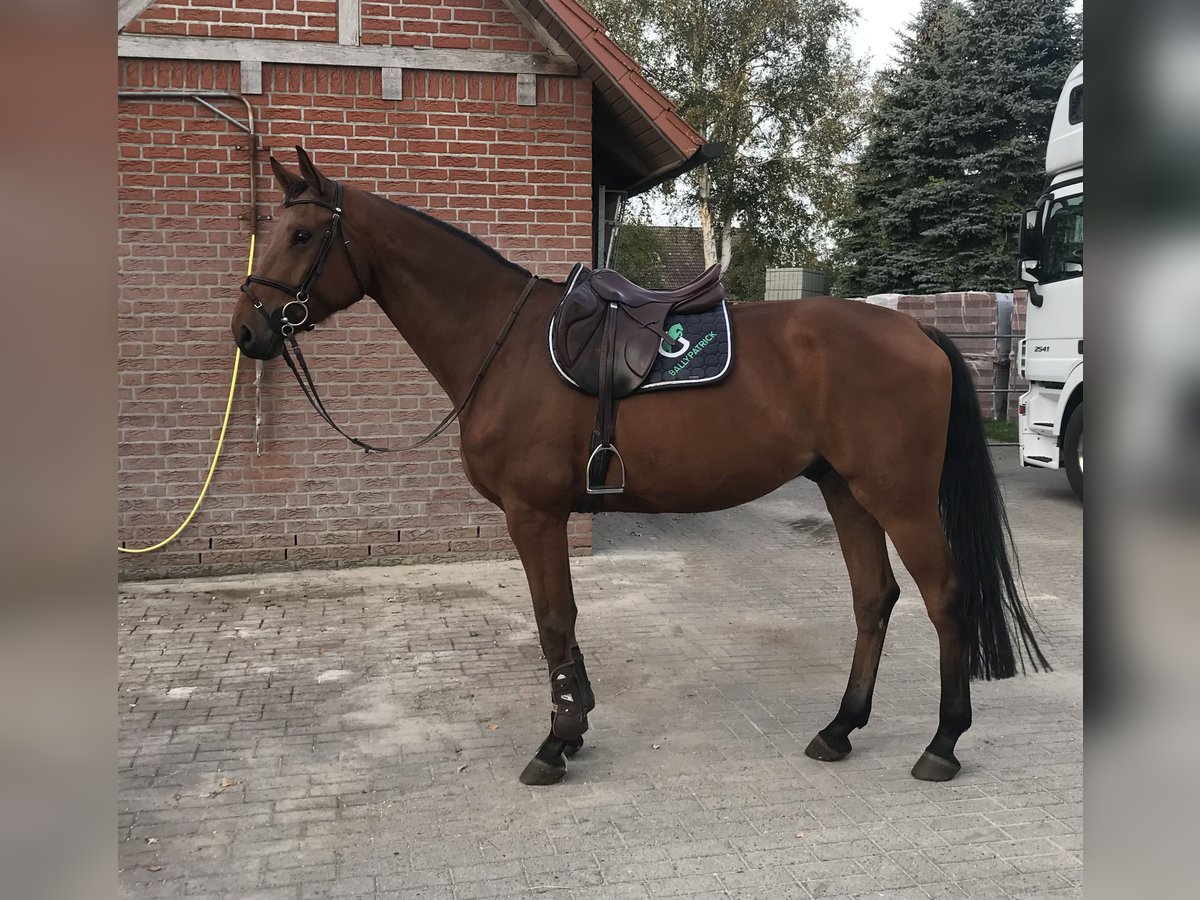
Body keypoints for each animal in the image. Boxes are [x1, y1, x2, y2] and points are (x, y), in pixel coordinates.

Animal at [229, 148, 1046, 787]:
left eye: (301, 234)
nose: (246, 331)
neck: (504, 344)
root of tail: (917, 331)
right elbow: (560, 620)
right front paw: (575, 722)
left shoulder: (534, 513)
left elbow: (553, 619)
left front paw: (556, 742)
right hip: (847, 492)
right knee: (874, 600)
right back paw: (840, 728)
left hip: (899, 497)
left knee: (945, 597)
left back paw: (943, 743)